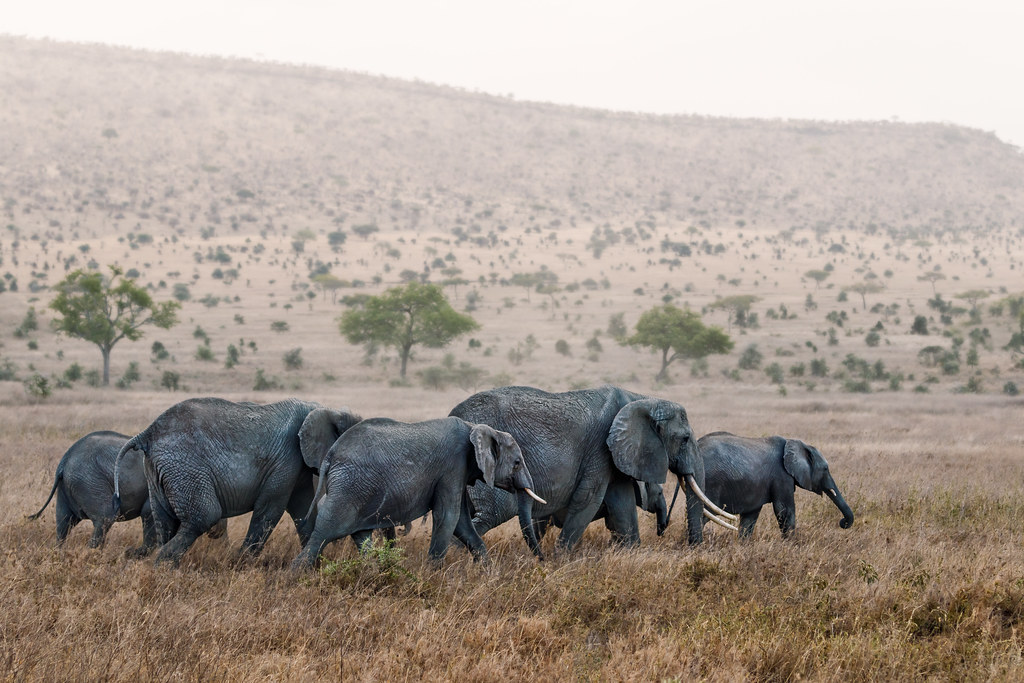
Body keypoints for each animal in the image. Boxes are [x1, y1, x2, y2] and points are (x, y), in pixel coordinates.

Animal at [27, 430, 226, 550]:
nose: (217, 535)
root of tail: (64, 461)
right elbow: (150, 515)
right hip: (88, 482)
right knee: (104, 519)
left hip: (67, 488)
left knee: (63, 524)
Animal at [113, 397, 360, 566]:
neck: (326, 408)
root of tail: (147, 433)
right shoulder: (287, 457)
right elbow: (271, 509)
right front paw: (241, 564)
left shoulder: (298, 465)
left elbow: (302, 509)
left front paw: (316, 565)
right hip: (184, 468)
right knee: (205, 515)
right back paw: (163, 566)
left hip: (160, 471)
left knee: (164, 519)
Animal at [291, 417, 542, 569]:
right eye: (517, 463)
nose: (543, 562)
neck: (476, 427)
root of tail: (330, 456)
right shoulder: (453, 467)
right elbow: (448, 517)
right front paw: (433, 575)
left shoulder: (458, 474)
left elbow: (462, 522)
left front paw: (488, 573)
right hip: (348, 488)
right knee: (324, 533)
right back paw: (295, 576)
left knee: (360, 536)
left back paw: (373, 570)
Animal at [450, 385, 737, 558]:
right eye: (685, 439)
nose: (693, 549)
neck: (643, 399)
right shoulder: (599, 449)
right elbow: (588, 498)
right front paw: (560, 559)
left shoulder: (615, 455)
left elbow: (621, 503)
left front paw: (630, 554)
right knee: (492, 513)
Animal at [696, 431, 855, 538]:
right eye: (826, 469)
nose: (842, 522)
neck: (797, 444)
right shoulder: (782, 476)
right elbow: (784, 510)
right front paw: (791, 547)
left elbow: (750, 516)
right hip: (709, 485)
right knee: (704, 514)